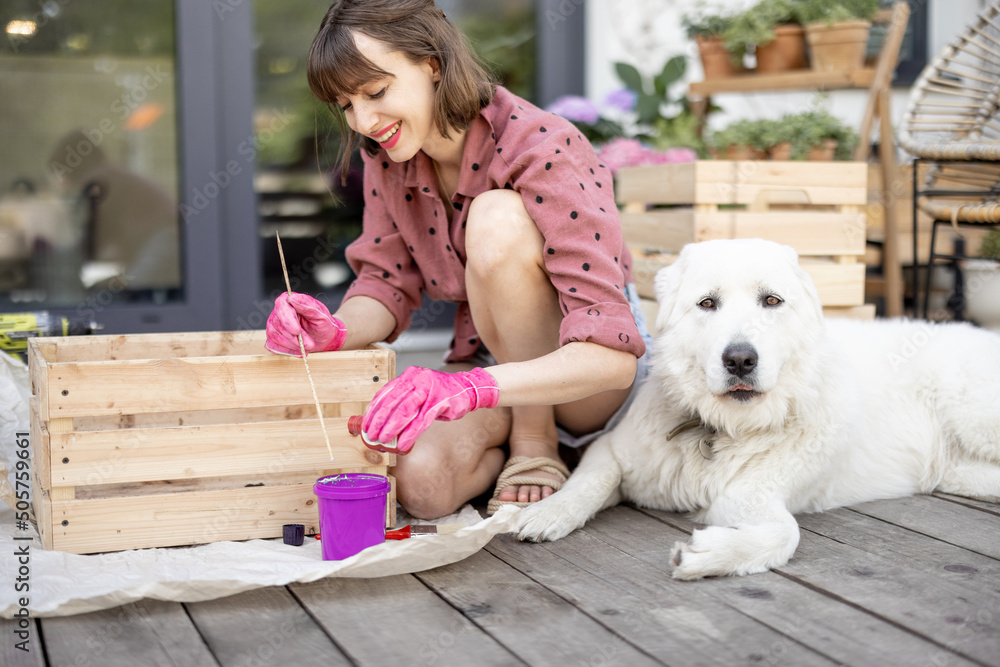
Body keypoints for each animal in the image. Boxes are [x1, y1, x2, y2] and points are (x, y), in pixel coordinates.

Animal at [516, 240, 1000, 580]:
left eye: (771, 301)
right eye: (707, 303)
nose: (740, 360)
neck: (724, 429)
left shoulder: (753, 496)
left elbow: (786, 533)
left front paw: (706, 555)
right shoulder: (613, 450)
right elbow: (588, 483)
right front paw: (547, 512)